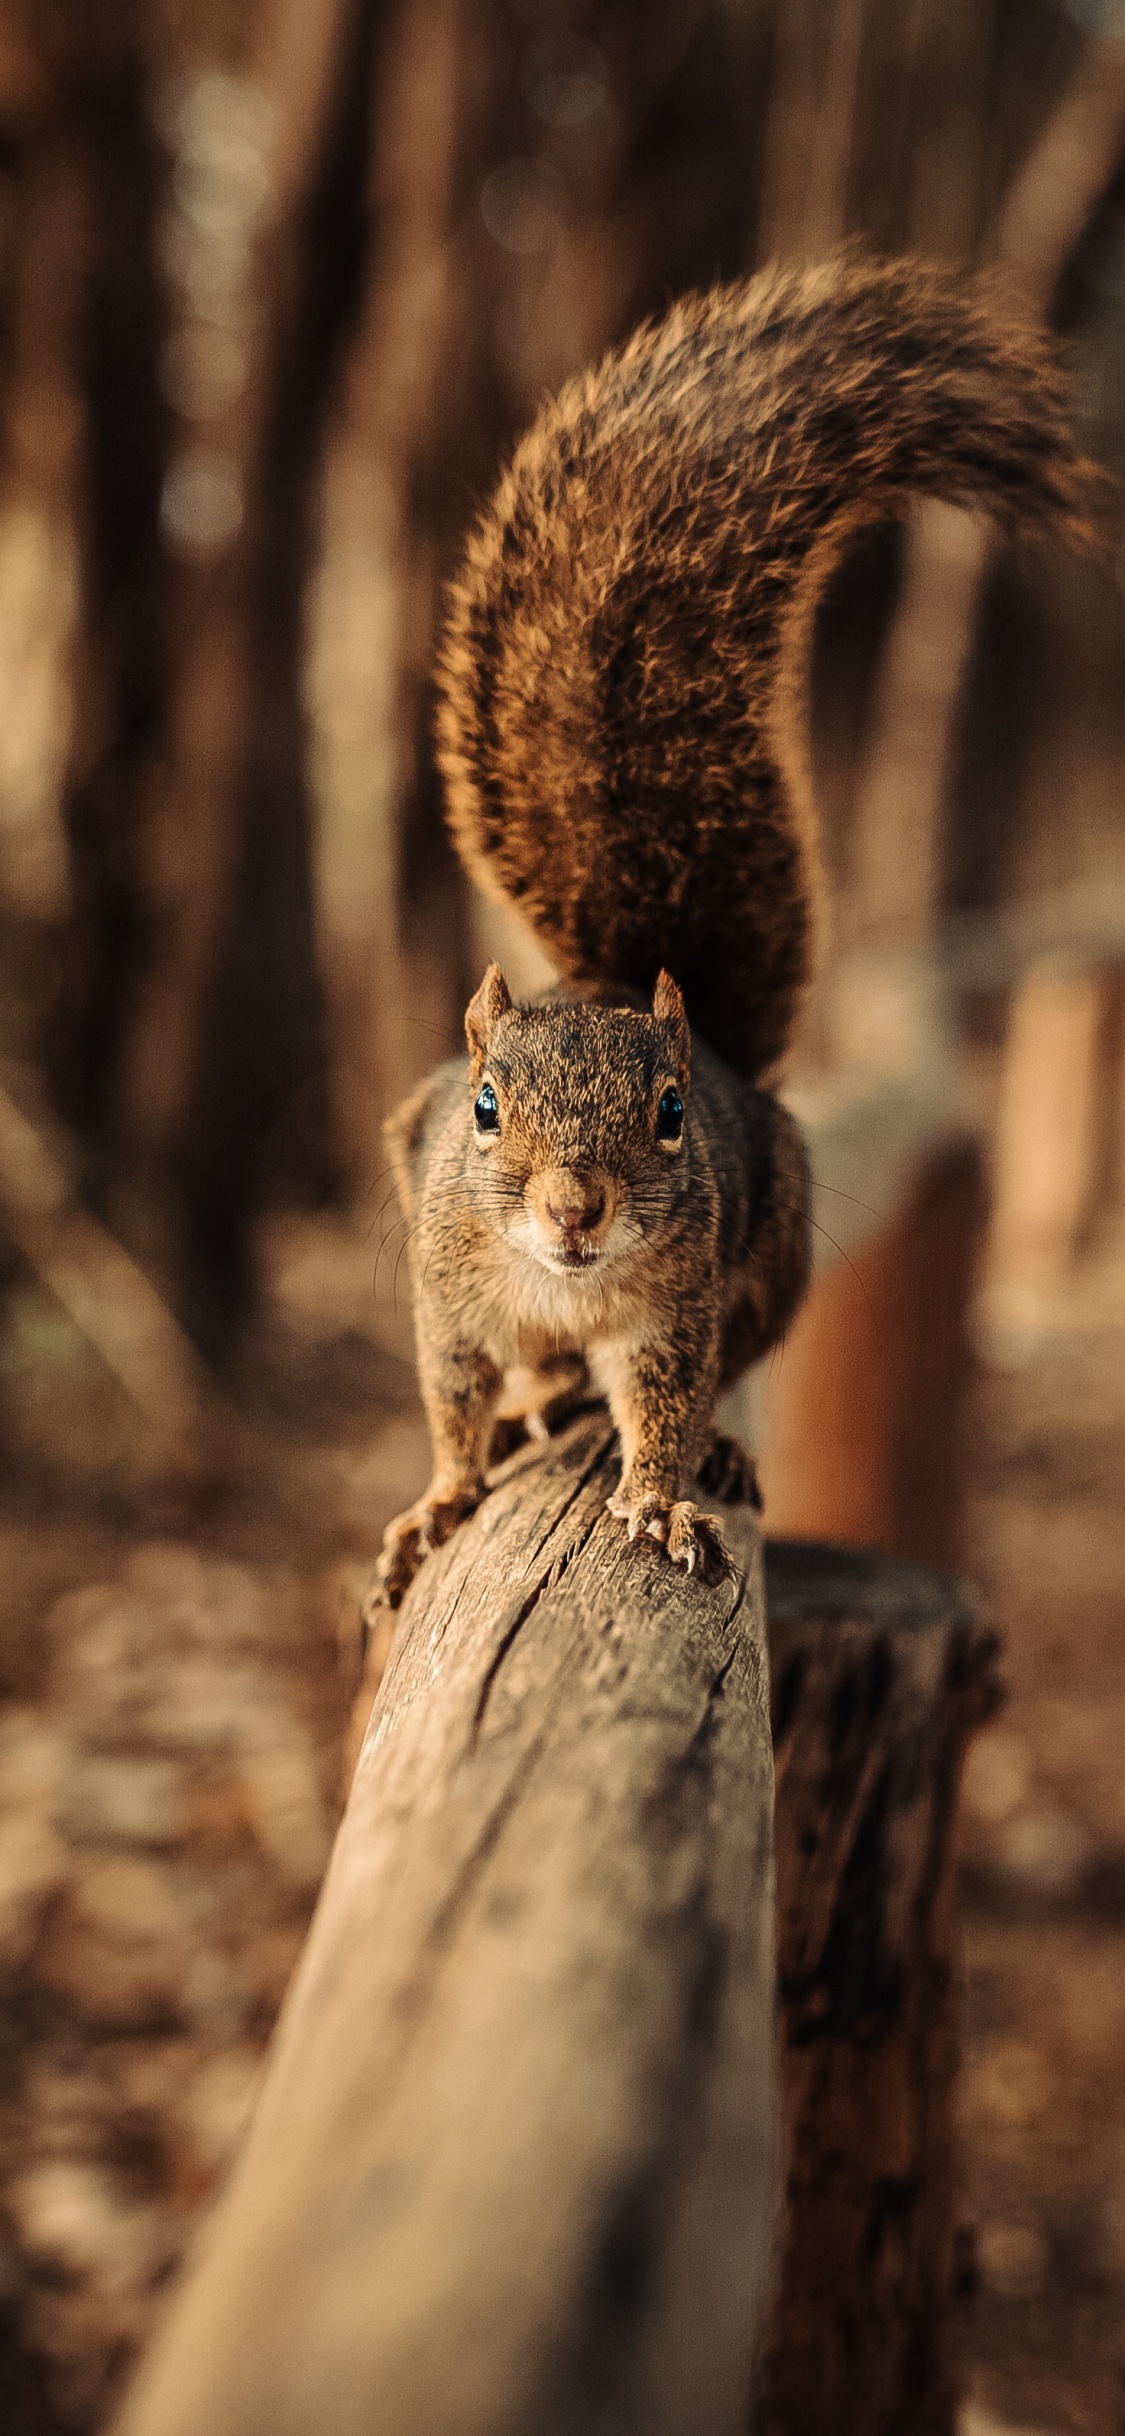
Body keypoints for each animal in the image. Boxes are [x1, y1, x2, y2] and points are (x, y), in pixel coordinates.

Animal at [369, 251, 1092, 1611]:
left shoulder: (677, 1311)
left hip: (778, 1244)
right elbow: (451, 1403)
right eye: (484, 1108)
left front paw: (659, 1497)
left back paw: (711, 1456)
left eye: (668, 1112)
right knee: (529, 1385)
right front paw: (439, 1499)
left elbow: (664, 1405)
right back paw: (537, 1407)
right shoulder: (449, 1299)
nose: (576, 1210)